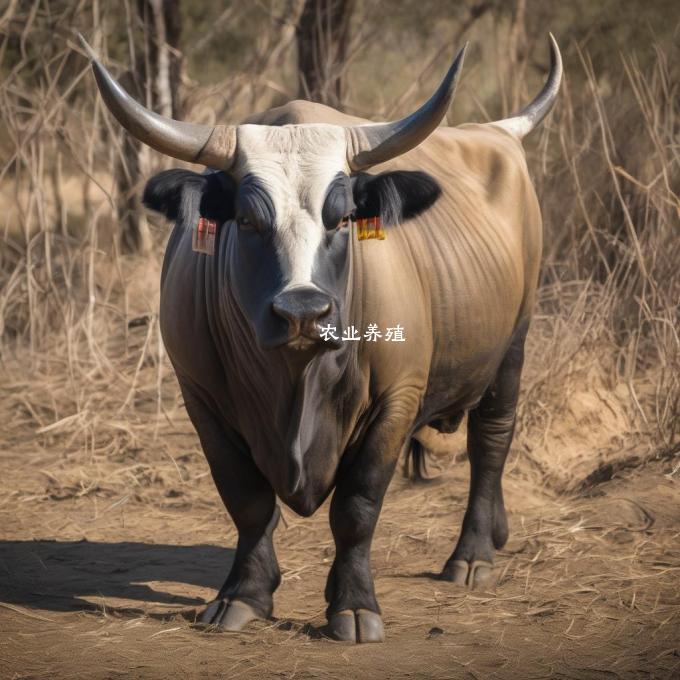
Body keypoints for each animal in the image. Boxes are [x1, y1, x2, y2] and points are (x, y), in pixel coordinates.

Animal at [79, 33, 564, 644]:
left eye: (343, 218)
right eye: (247, 219)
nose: (303, 311)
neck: (296, 380)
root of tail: (494, 133)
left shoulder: (396, 401)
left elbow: (357, 506)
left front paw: (353, 606)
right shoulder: (202, 399)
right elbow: (247, 500)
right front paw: (244, 595)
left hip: (513, 347)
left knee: (491, 442)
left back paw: (473, 555)